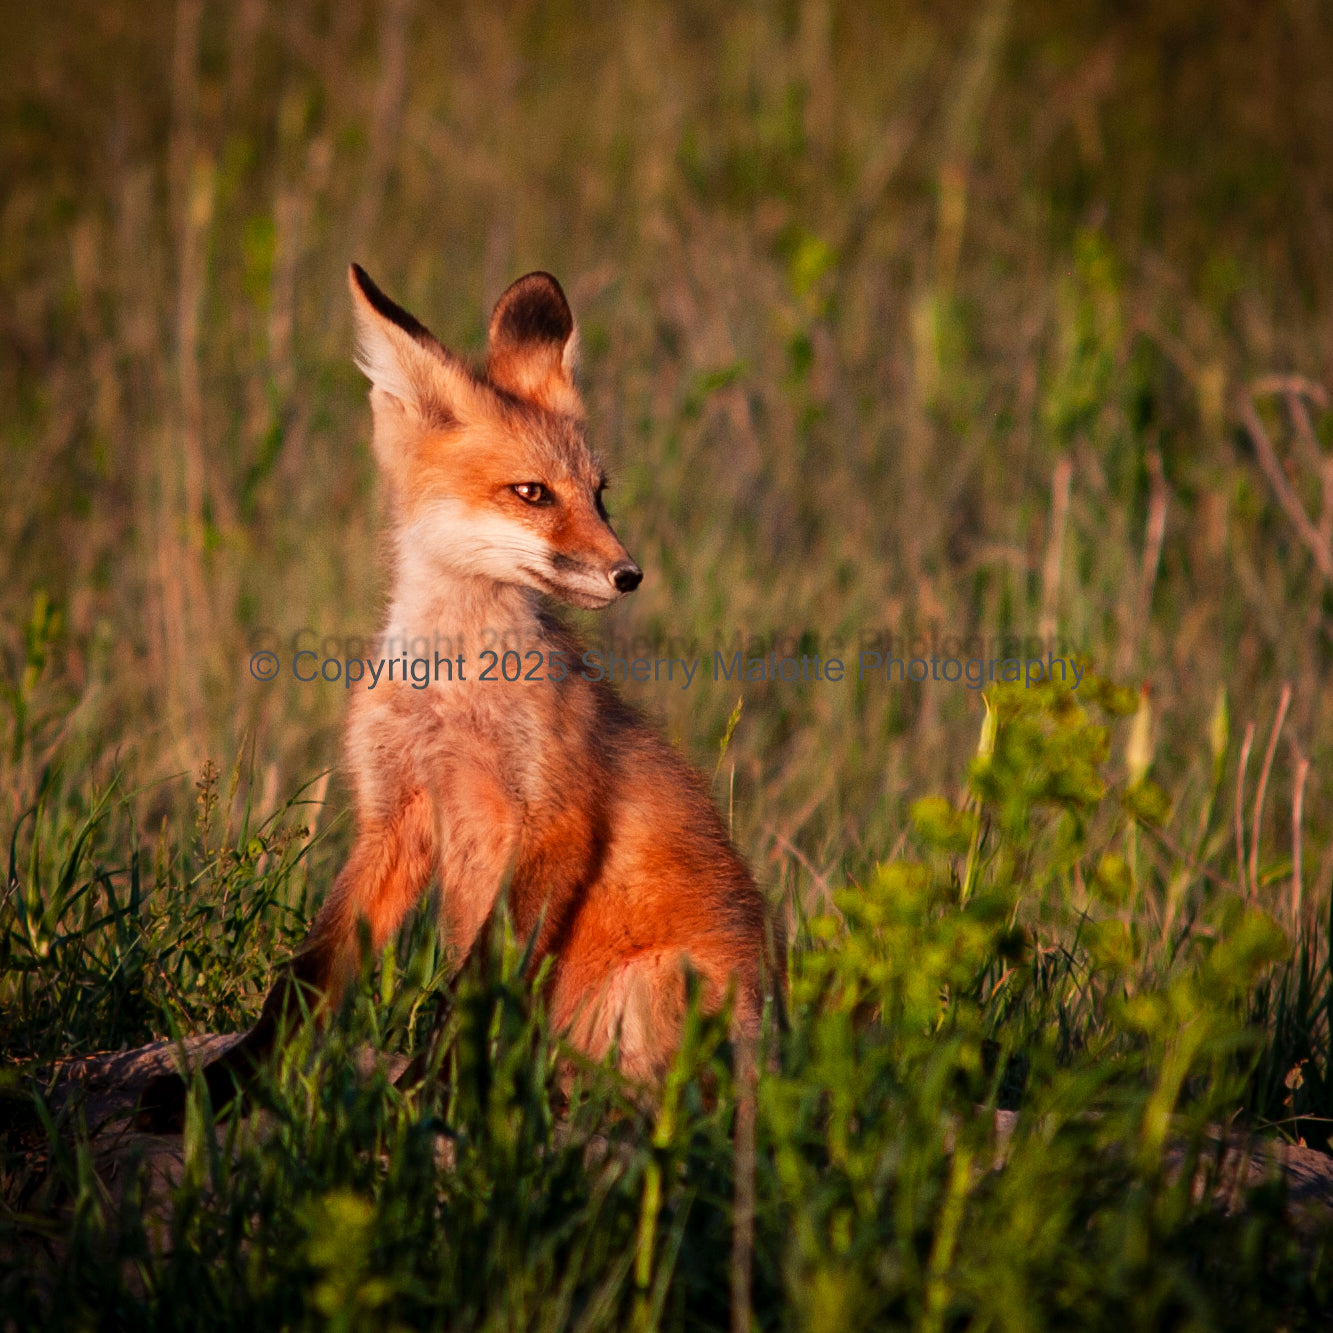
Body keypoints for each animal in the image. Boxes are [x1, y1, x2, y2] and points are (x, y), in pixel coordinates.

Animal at [142, 265, 781, 1124]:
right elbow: (304, 978)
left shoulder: (556, 820)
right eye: (532, 493)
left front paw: (426, 1094)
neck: (450, 699)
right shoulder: (396, 814)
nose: (629, 574)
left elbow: (476, 986)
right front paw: (221, 1086)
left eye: (599, 494)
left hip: (651, 987)